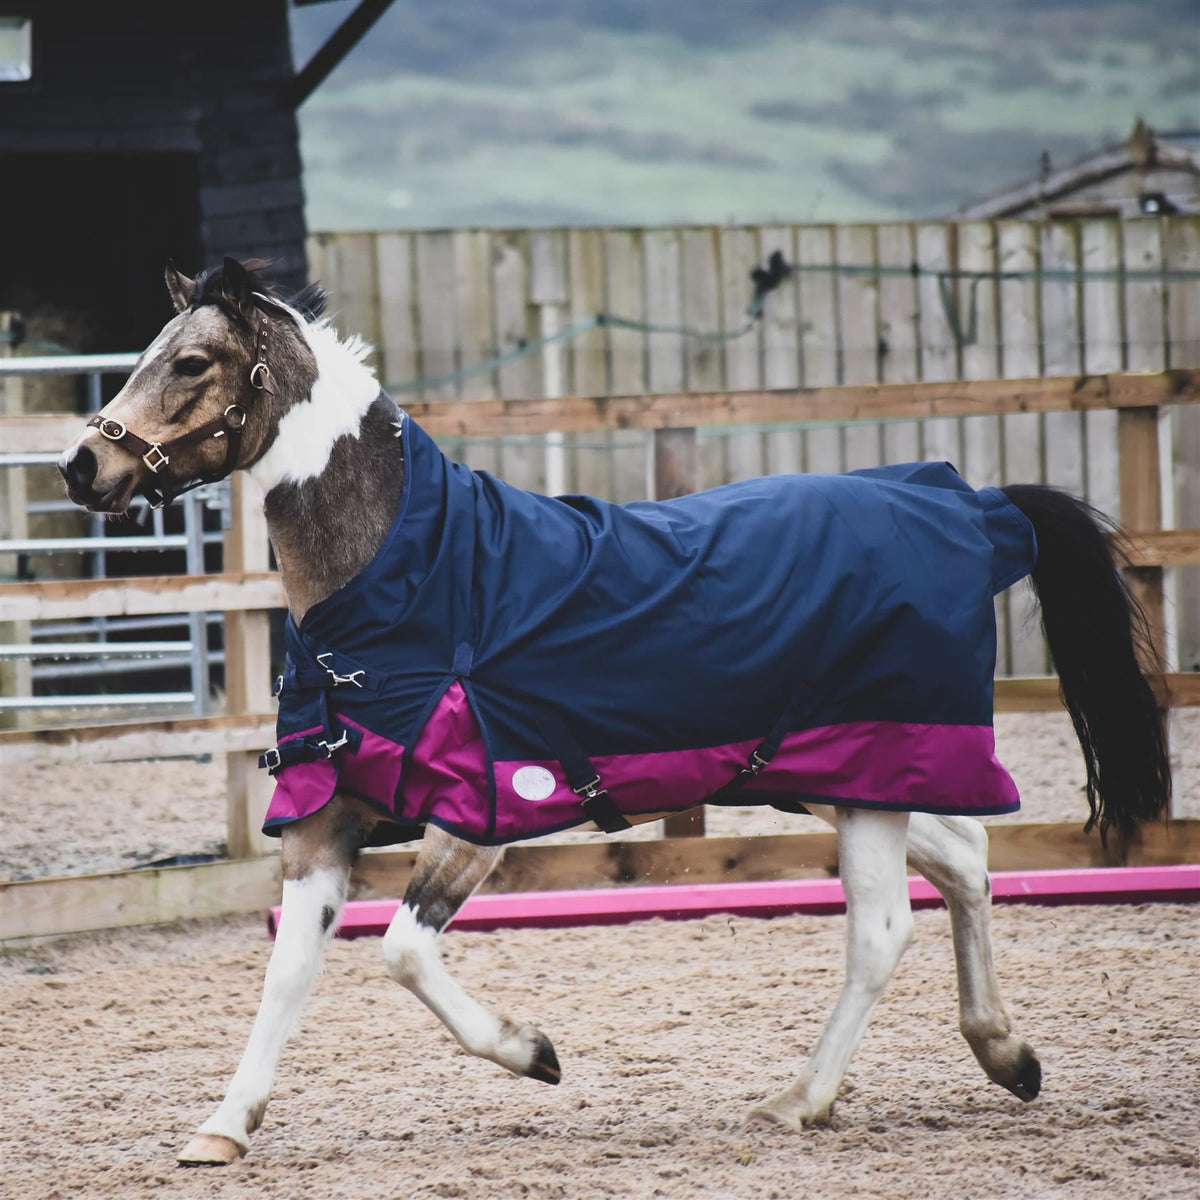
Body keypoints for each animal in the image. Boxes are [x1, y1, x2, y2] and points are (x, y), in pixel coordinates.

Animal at [57, 259, 1170, 1167]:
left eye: (193, 361)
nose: (84, 467)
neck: (414, 582)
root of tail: (970, 506)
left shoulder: (478, 812)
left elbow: (404, 951)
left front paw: (533, 1053)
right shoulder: (326, 820)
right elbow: (288, 972)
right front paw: (223, 1127)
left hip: (867, 782)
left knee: (883, 927)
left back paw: (798, 1101)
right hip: (836, 778)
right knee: (966, 860)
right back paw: (1006, 1054)